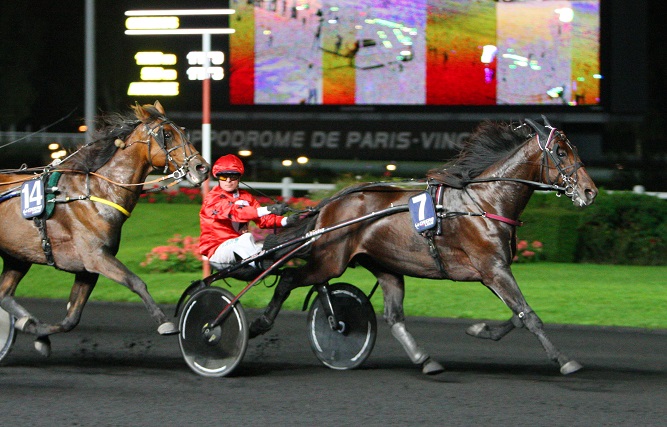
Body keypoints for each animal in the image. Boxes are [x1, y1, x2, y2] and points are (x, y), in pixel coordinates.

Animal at [0, 101, 209, 358]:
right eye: (167, 135)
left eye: (183, 130)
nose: (202, 167)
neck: (96, 192)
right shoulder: (96, 257)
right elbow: (136, 282)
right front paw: (164, 322)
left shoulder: (87, 269)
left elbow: (71, 319)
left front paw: (38, 333)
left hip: (17, 256)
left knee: (4, 295)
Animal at [250, 117, 600, 374]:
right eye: (560, 152)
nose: (590, 191)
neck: (486, 201)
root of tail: (329, 205)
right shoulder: (494, 268)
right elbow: (529, 315)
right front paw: (565, 361)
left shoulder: (493, 272)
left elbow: (519, 314)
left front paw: (479, 330)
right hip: (330, 260)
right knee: (289, 278)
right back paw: (258, 324)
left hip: (386, 266)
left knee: (394, 317)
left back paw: (425, 360)